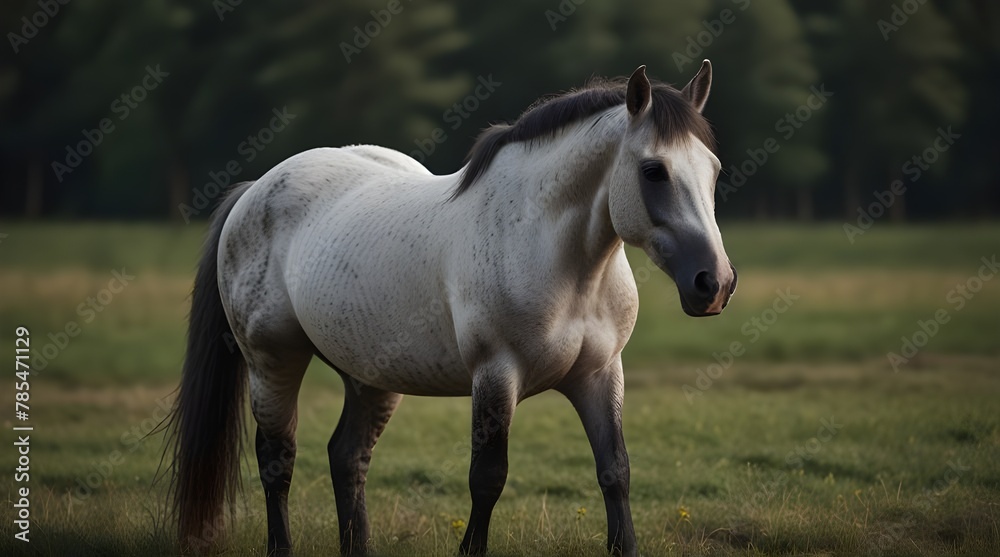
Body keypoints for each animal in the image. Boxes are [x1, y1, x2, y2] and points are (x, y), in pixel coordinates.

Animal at [167, 60, 736, 557]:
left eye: (712, 170)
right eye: (653, 170)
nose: (715, 284)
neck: (560, 259)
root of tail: (253, 190)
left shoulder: (600, 374)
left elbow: (615, 470)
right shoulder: (496, 374)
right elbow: (487, 477)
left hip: (370, 376)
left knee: (347, 457)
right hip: (273, 361)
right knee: (277, 461)